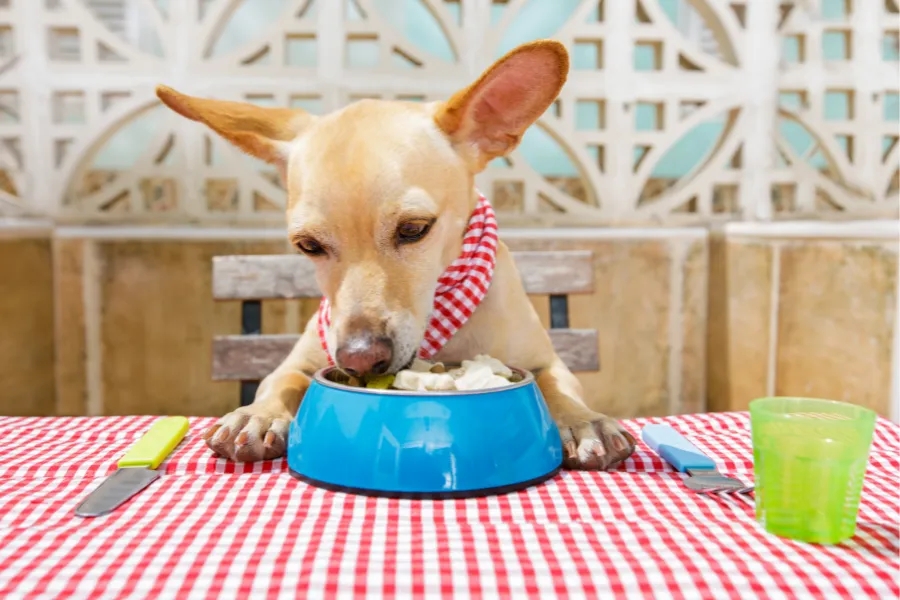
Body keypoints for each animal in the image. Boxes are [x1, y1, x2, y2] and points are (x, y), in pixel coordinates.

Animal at [160, 41, 640, 474]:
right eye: (308, 245)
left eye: (414, 229)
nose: (358, 358)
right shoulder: (297, 362)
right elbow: (283, 381)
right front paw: (258, 415)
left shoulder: (549, 363)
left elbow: (555, 386)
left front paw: (582, 421)